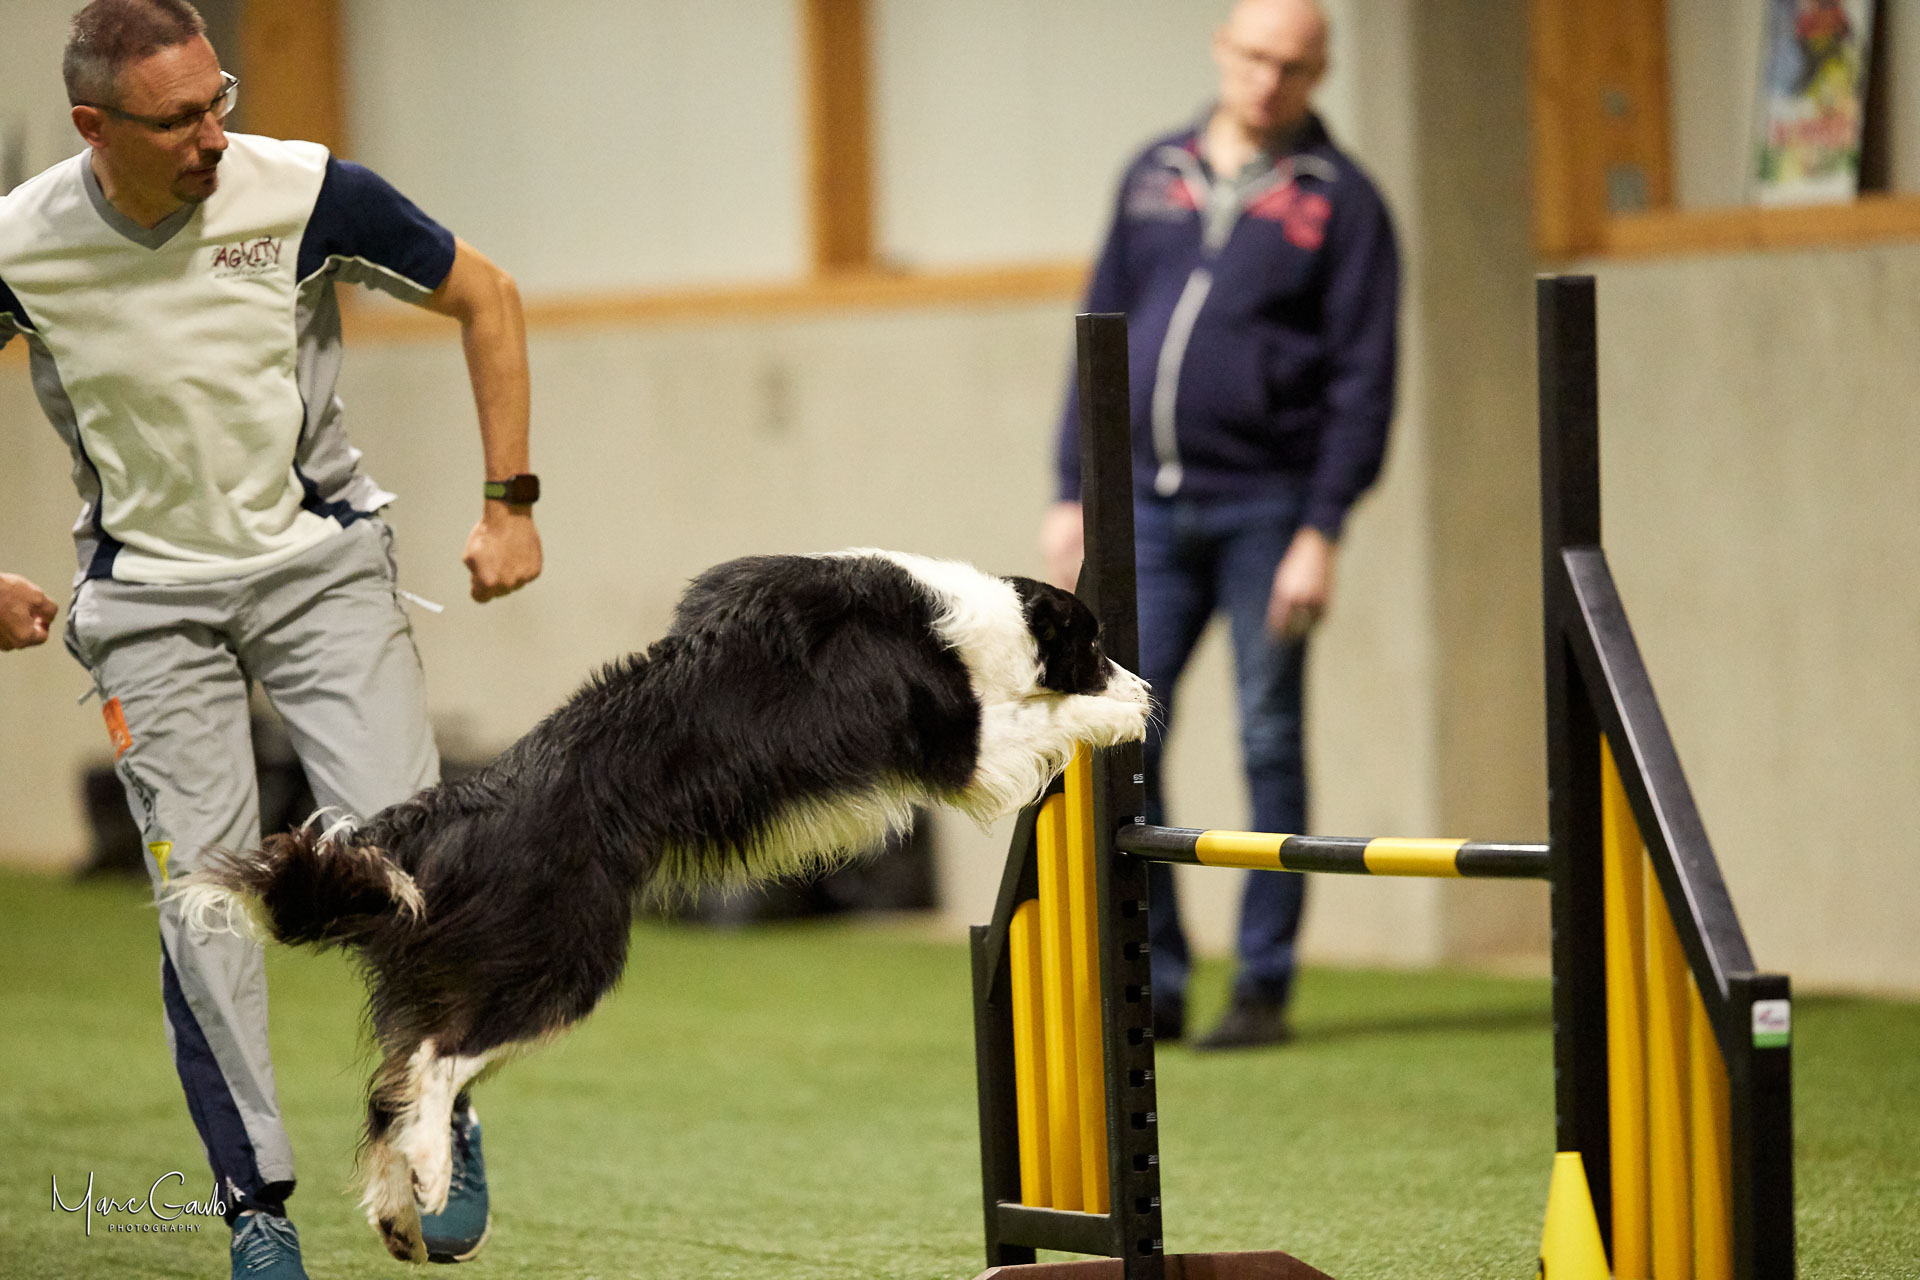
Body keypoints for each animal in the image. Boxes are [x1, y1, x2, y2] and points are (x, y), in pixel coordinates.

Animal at [170, 549, 1150, 1262]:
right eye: (1096, 646)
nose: (1145, 686)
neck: (965, 617)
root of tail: (450, 807)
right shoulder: (962, 750)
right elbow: (1041, 724)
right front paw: (1121, 718)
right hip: (563, 958)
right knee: (434, 1064)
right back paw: (430, 1181)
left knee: (394, 1085)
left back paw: (399, 1218)